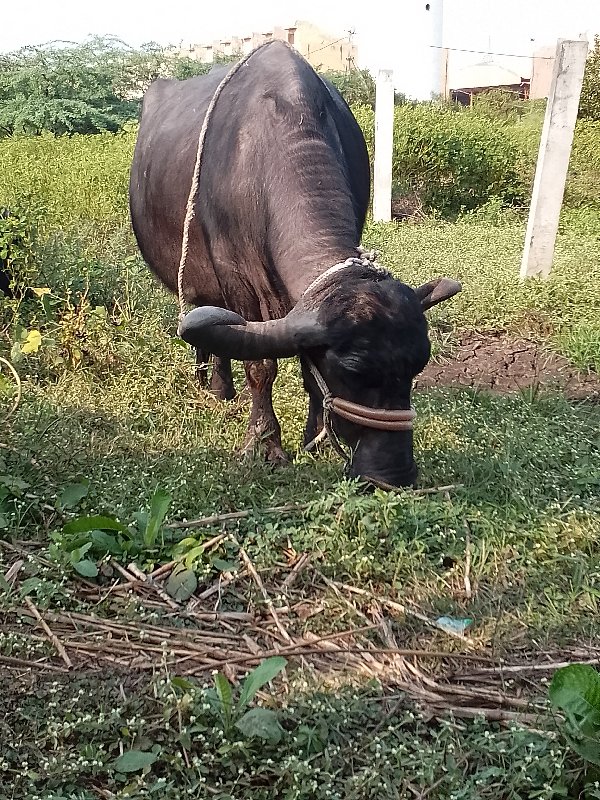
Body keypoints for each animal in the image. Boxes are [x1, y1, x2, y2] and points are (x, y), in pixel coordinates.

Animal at [130, 43, 460, 488]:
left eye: (418, 363)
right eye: (354, 369)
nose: (394, 474)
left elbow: (308, 370)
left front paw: (314, 439)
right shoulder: (236, 277)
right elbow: (260, 364)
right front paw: (265, 444)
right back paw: (215, 388)